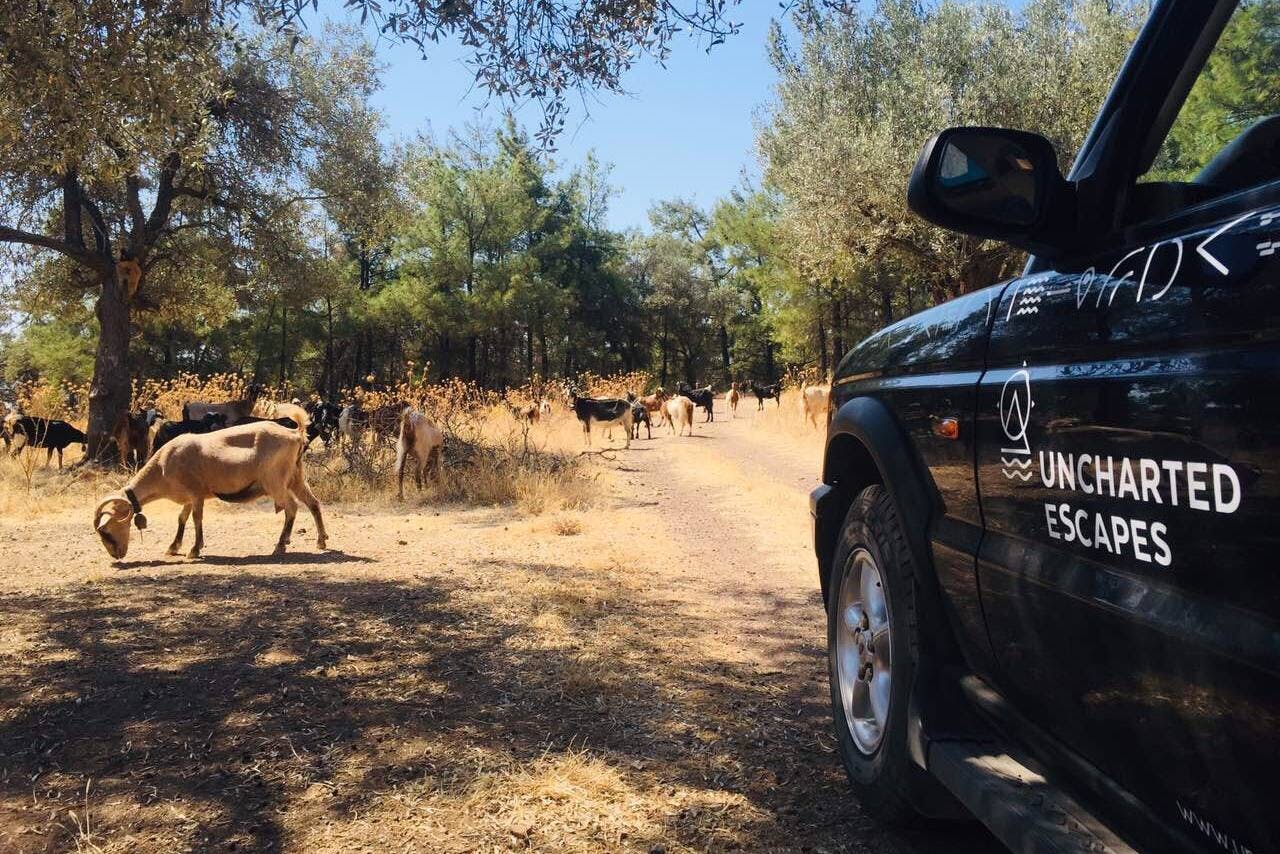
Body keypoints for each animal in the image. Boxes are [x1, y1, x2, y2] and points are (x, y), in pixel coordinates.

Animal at [92, 419, 325, 560]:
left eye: (105, 531)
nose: (117, 555)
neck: (162, 465)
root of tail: (296, 434)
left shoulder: (196, 493)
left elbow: (197, 519)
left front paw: (194, 550)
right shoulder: (188, 497)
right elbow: (182, 518)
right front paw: (173, 547)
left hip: (274, 481)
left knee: (292, 507)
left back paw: (280, 545)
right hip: (296, 477)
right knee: (313, 503)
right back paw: (321, 541)